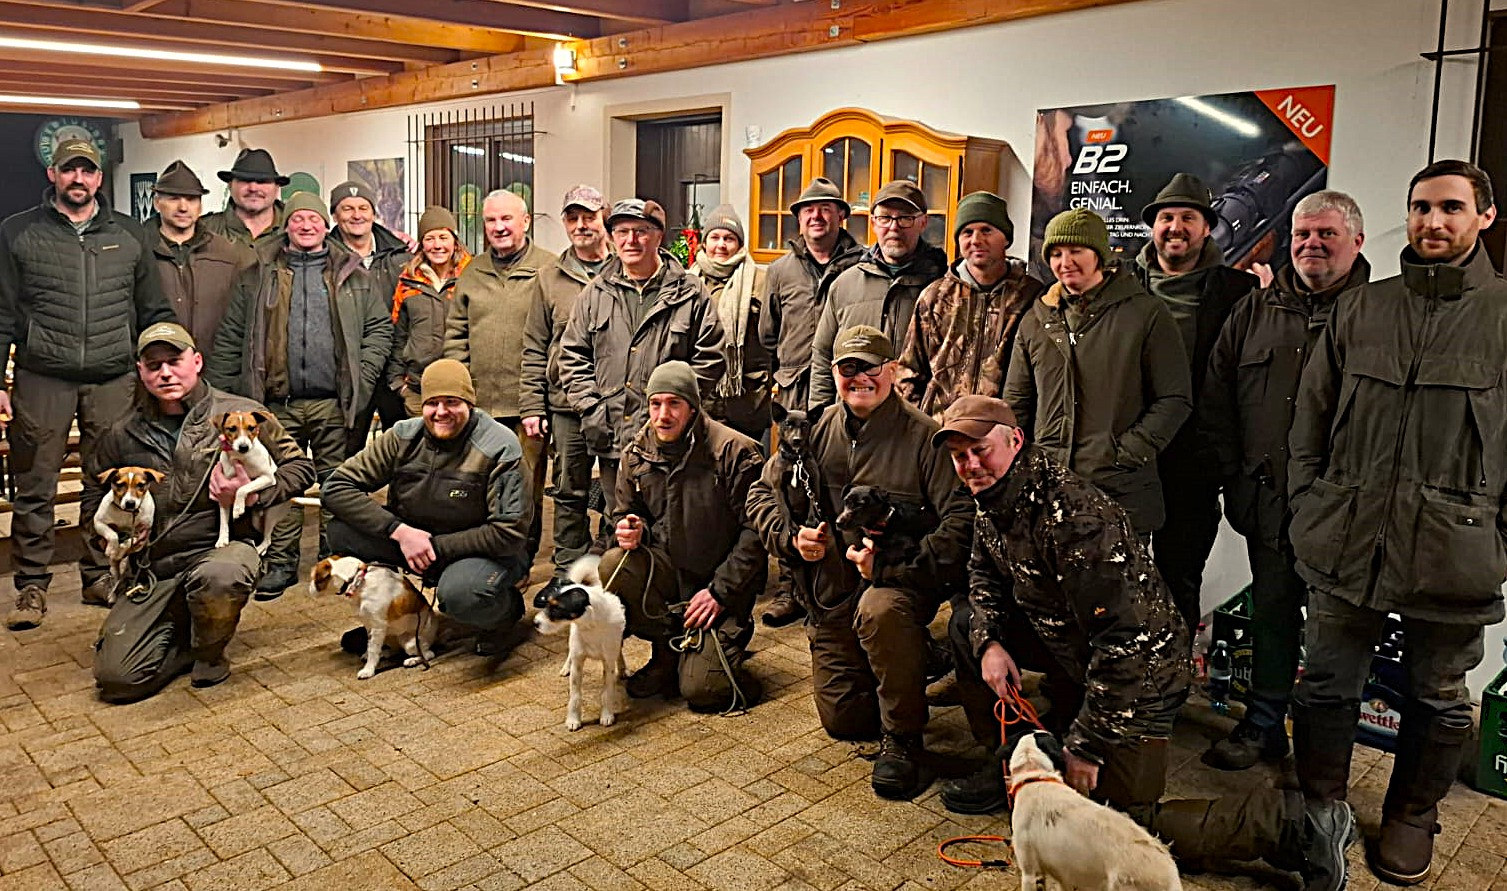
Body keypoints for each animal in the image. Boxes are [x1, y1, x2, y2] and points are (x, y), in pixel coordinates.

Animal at [212, 410, 289, 554]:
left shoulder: (267, 478)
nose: (243, 447)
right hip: (256, 520)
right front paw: (222, 539)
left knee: (268, 538)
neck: (240, 457)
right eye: (232, 428)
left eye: (251, 428)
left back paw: (259, 549)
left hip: (270, 514)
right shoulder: (223, 495)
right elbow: (223, 522)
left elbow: (242, 488)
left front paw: (237, 508)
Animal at [308, 556, 437, 680]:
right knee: (396, 648)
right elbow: (370, 645)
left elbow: (373, 650)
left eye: (315, 579)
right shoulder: (369, 625)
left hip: (409, 642)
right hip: (389, 634)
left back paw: (412, 660)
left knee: (427, 654)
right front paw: (369, 656)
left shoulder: (377, 626)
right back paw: (386, 653)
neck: (358, 582)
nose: (309, 589)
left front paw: (368, 670)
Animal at [532, 555, 628, 731]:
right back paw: (565, 668)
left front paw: (606, 715)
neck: (590, 627)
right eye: (547, 603)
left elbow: (607, 691)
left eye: (557, 608)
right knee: (569, 654)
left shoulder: (608, 663)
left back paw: (623, 668)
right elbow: (575, 695)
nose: (535, 623)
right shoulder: (578, 661)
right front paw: (573, 719)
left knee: (618, 652)